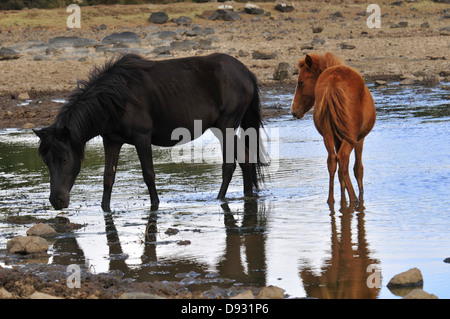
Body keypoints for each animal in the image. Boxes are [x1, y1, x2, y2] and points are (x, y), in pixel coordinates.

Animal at [36, 53, 268, 212]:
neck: (115, 99)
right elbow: (108, 177)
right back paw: (247, 196)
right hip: (223, 127)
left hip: (226, 126)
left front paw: (155, 204)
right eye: (46, 161)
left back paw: (220, 198)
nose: (56, 201)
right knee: (246, 159)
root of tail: (246, 72)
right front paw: (105, 209)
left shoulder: (142, 138)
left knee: (230, 164)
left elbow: (148, 174)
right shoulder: (111, 141)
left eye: (65, 159)